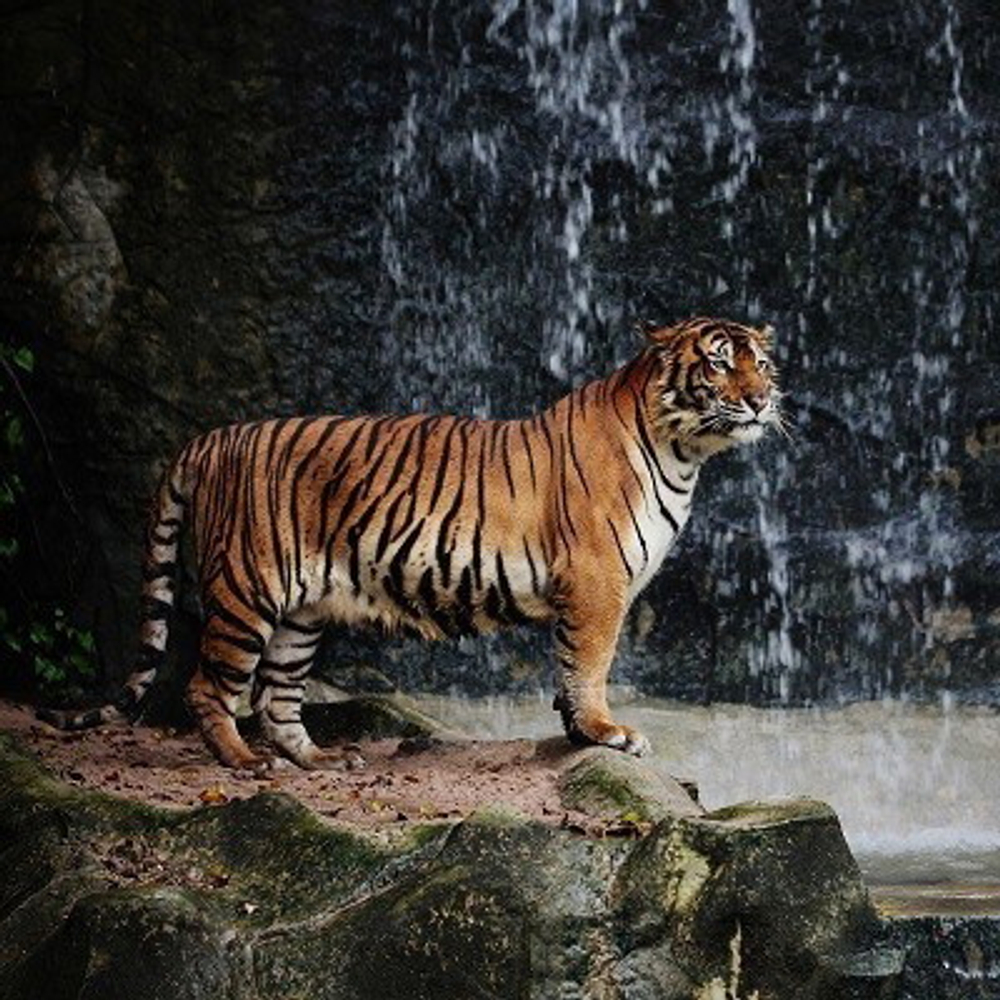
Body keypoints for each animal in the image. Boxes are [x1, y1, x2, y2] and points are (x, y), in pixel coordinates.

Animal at [41, 317, 780, 769]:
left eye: (764, 364)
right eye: (719, 365)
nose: (761, 400)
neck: (685, 453)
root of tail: (213, 436)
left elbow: (569, 667)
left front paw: (578, 732)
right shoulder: (597, 582)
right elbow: (590, 664)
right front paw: (606, 732)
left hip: (300, 614)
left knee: (276, 698)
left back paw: (318, 760)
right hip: (247, 591)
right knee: (209, 687)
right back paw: (245, 761)